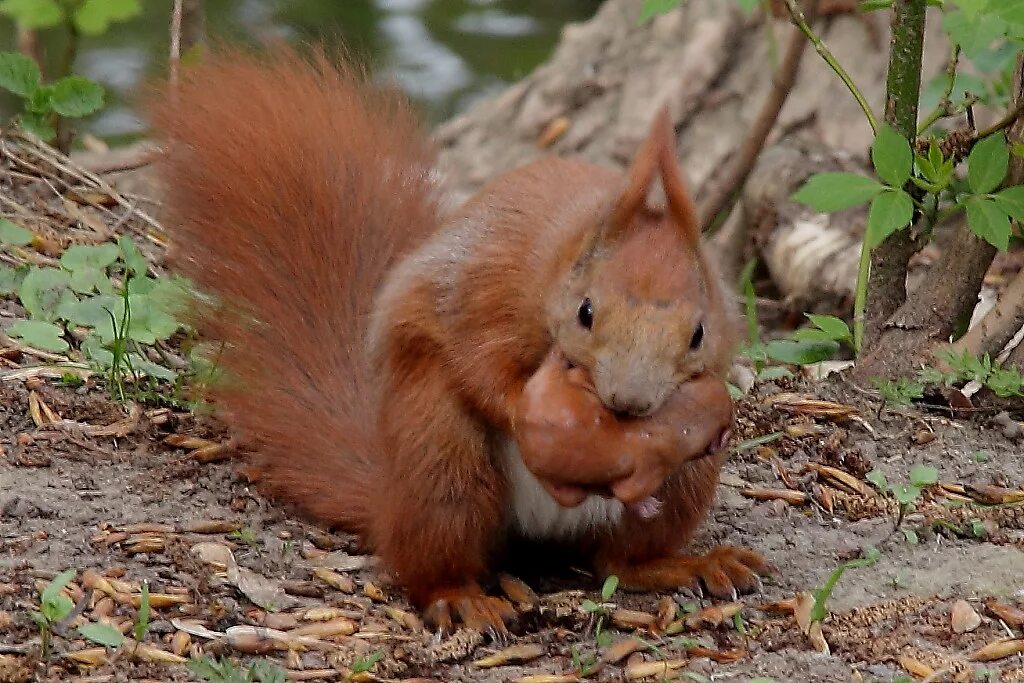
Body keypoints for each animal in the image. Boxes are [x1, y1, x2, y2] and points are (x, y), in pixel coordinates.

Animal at [151, 46, 770, 634]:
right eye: (586, 313)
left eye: (698, 334)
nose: (629, 403)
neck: (559, 257)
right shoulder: (488, 289)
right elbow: (479, 362)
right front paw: (526, 414)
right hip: (440, 460)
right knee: (435, 555)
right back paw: (460, 598)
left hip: (682, 484)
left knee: (620, 563)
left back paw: (690, 564)